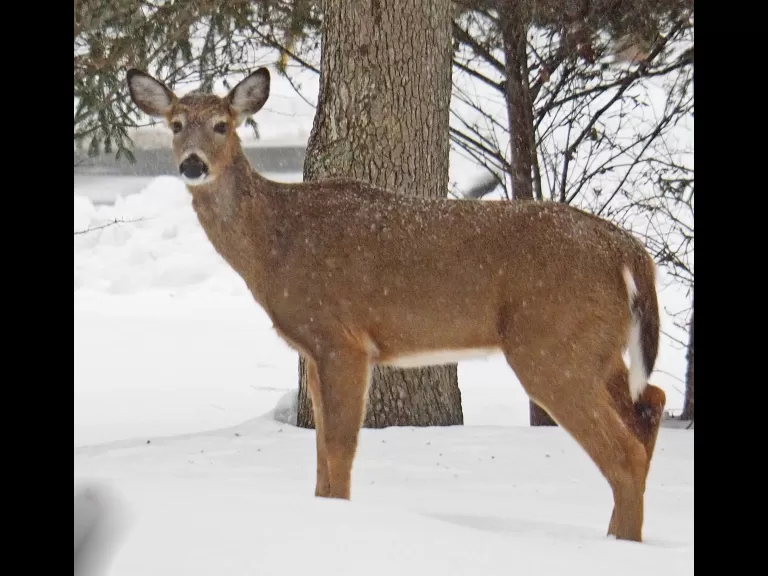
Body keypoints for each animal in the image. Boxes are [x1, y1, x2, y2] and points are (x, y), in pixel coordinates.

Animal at [126, 67, 667, 543]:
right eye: (176, 124)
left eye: (222, 124)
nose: (192, 164)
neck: (275, 242)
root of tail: (627, 248)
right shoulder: (313, 349)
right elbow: (320, 450)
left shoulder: (342, 338)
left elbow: (340, 447)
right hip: (596, 345)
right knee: (651, 405)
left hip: (551, 345)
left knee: (624, 451)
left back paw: (618, 546)